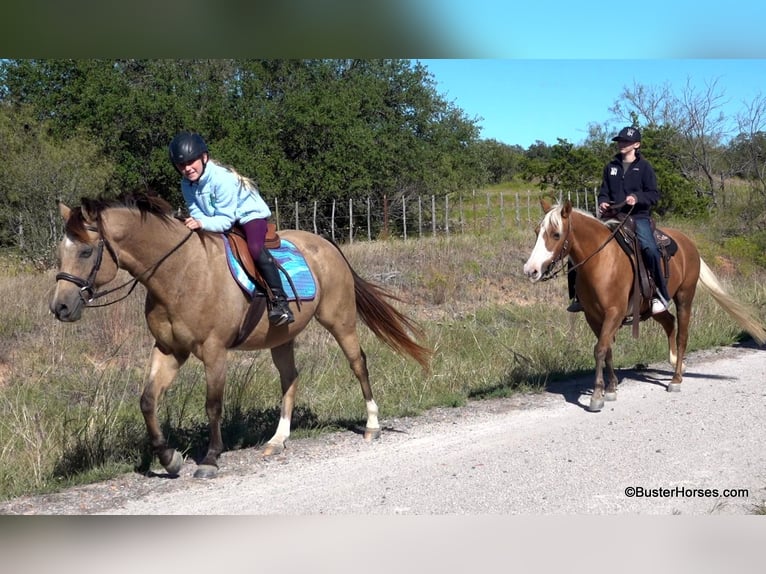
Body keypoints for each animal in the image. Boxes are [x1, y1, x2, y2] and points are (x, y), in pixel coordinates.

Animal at [49, 195, 432, 482]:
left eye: (85, 252)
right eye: (61, 251)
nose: (60, 307)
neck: (180, 274)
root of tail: (327, 244)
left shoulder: (214, 351)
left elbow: (213, 405)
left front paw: (210, 459)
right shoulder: (169, 350)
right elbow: (147, 401)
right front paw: (170, 459)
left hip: (339, 320)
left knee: (358, 363)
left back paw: (372, 425)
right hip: (282, 336)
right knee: (290, 378)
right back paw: (277, 440)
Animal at [524, 200, 764, 412]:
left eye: (556, 234)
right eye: (536, 232)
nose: (530, 270)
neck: (601, 261)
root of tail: (689, 243)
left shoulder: (614, 313)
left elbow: (600, 349)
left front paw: (597, 395)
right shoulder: (593, 316)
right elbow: (606, 349)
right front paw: (611, 388)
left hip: (685, 298)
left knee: (682, 335)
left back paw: (676, 379)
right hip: (650, 308)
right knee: (669, 322)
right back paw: (675, 362)